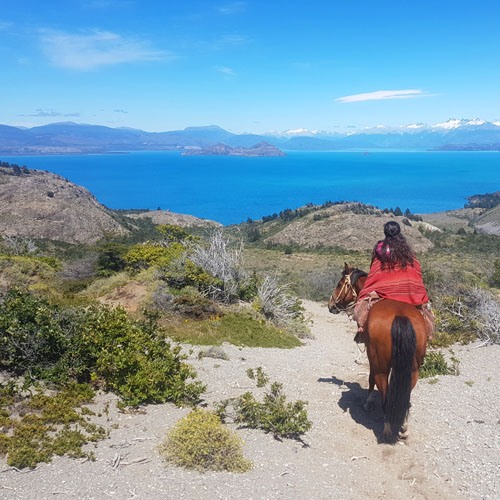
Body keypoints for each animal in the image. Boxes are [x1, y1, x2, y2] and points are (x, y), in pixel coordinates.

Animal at [328, 262, 426, 442]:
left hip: (381, 366)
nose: (331, 306)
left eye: (339, 284)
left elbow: (370, 378)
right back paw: (403, 428)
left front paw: (367, 403)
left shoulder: (371, 356)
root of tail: (400, 316)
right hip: (413, 369)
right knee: (406, 397)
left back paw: (387, 429)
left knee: (384, 394)